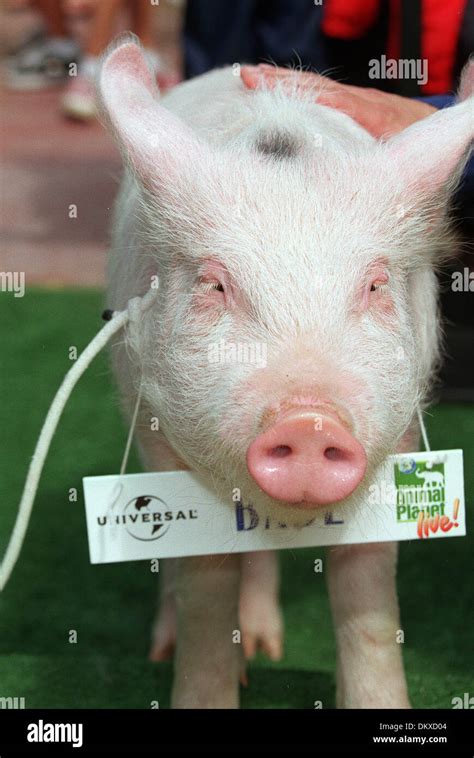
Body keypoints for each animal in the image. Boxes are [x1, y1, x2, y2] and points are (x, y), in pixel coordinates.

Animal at [98, 37, 473, 708]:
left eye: (374, 285)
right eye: (215, 284)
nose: (309, 419)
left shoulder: (400, 429)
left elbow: (368, 592)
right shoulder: (157, 429)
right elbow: (205, 581)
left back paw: (266, 645)